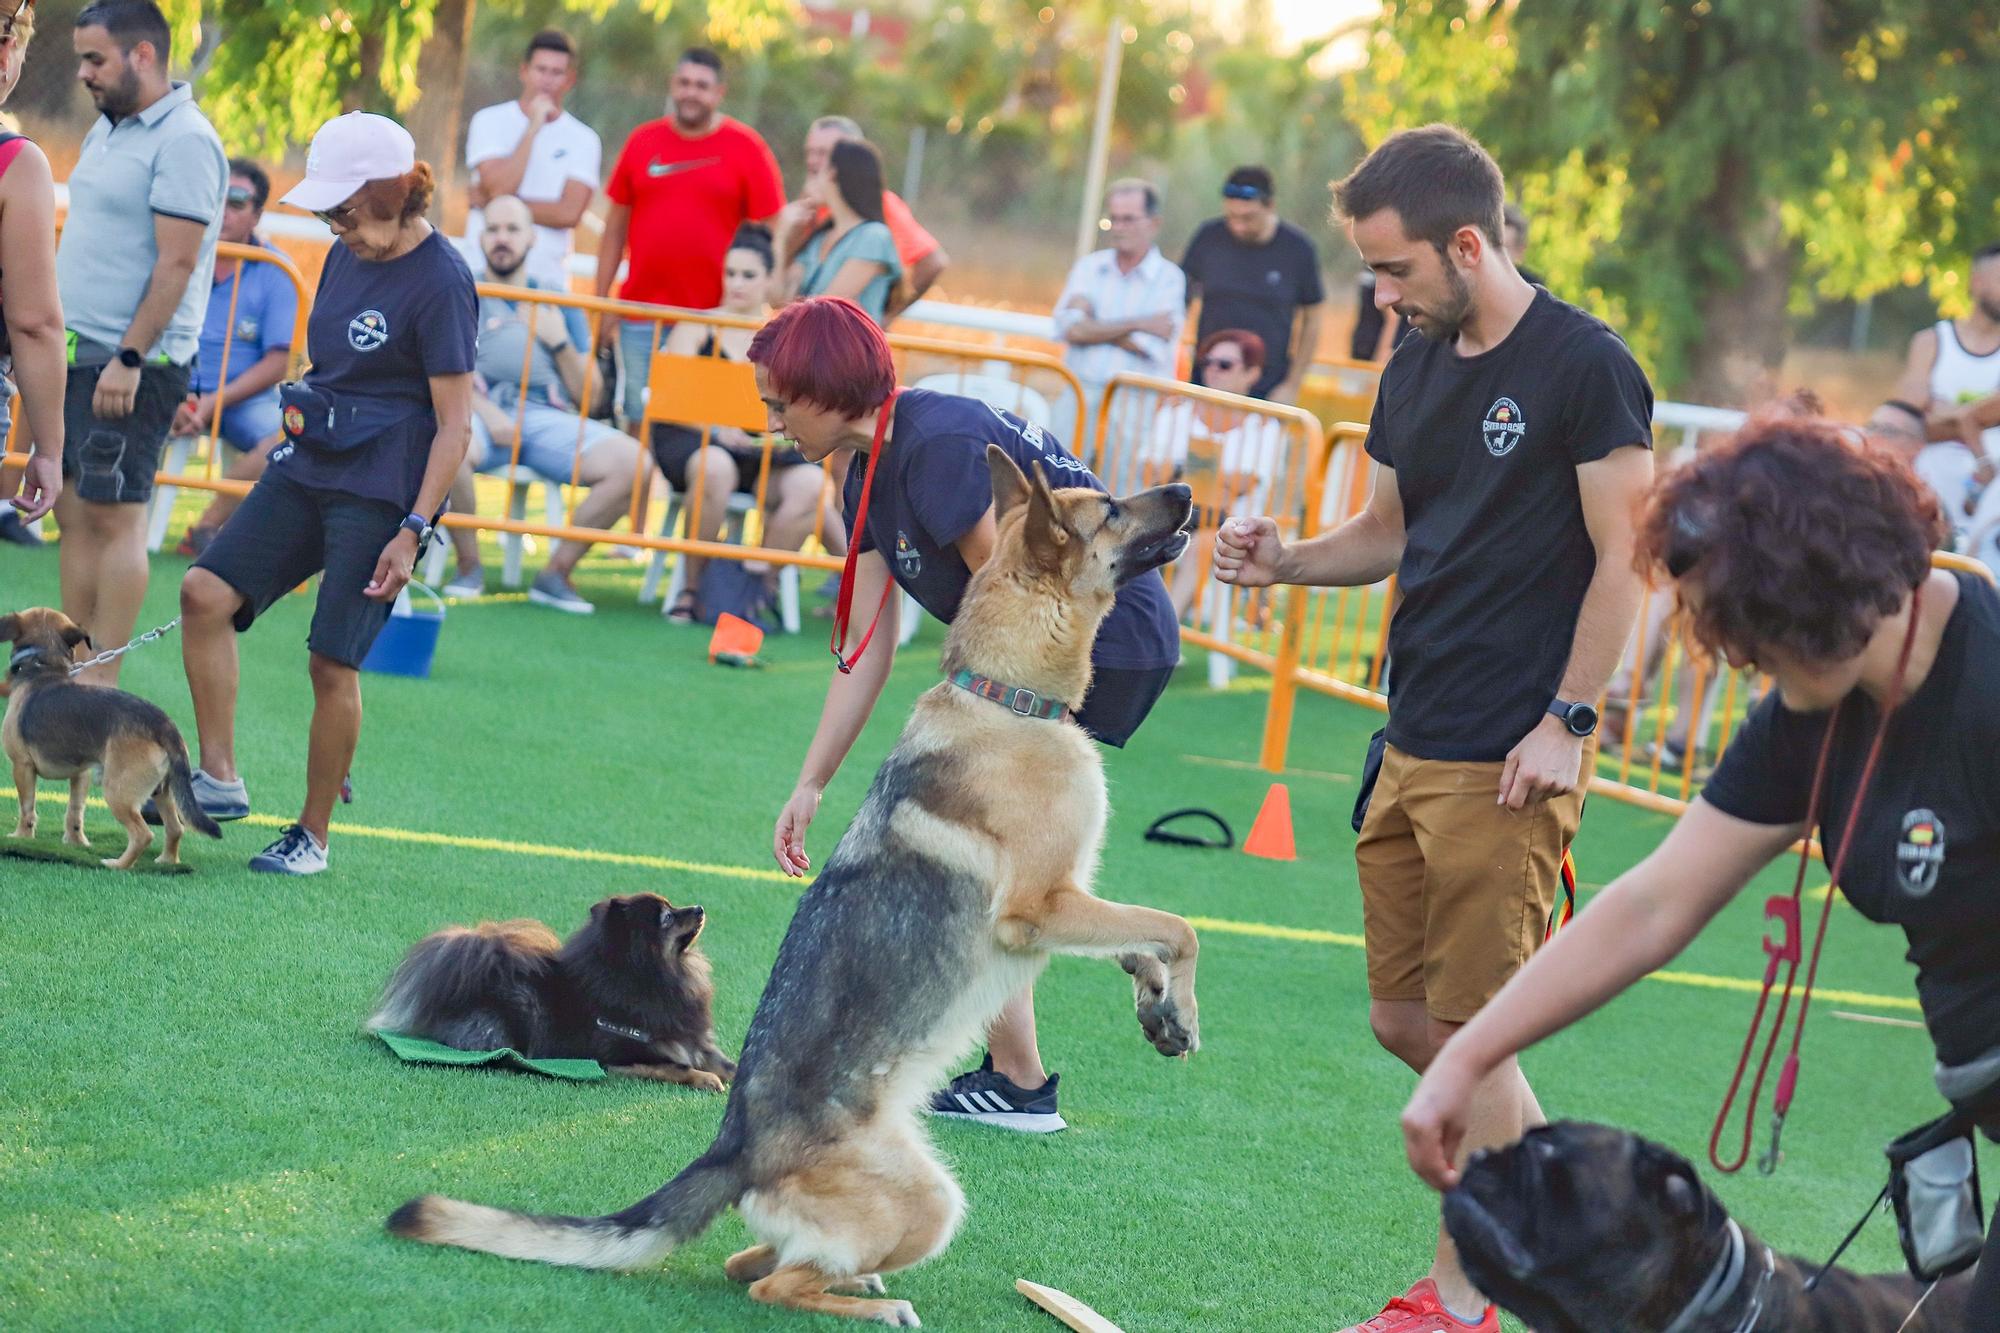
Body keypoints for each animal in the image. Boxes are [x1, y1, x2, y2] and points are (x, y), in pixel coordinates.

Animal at [1, 608, 222, 868]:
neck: (42, 667)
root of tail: (165, 726)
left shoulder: (22, 766)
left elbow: (27, 808)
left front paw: (21, 837)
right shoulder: (81, 773)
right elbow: (75, 812)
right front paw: (76, 843)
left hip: (117, 792)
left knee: (143, 834)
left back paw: (118, 865)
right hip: (163, 791)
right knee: (176, 829)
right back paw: (166, 862)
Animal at [366, 892, 736, 1088]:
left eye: (673, 907)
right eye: (667, 918)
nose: (700, 908)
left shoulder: (695, 1041)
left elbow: (731, 1064)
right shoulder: (619, 1058)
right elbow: (676, 1066)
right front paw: (706, 1079)